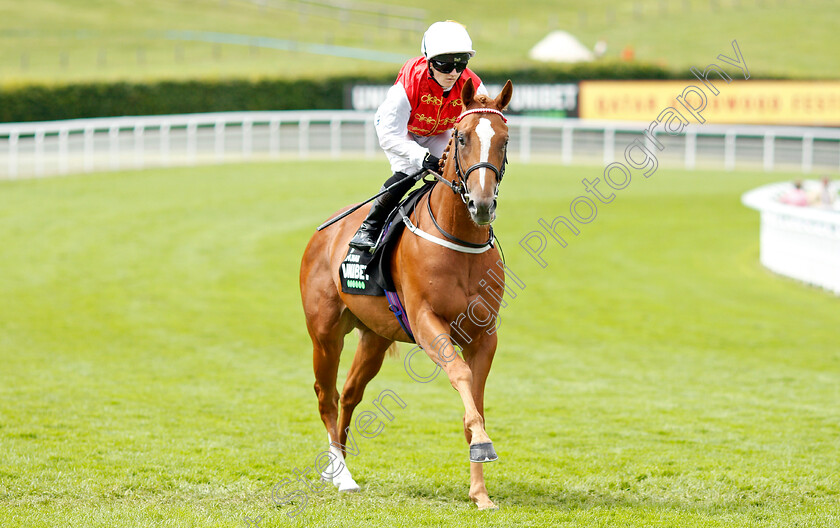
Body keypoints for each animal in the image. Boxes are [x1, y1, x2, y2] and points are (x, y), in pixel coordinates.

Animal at [302, 78, 512, 512]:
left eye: (504, 140)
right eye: (462, 138)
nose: (482, 204)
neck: (457, 241)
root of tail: (323, 234)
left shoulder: (485, 335)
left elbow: (474, 403)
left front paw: (480, 490)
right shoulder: (427, 323)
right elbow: (461, 375)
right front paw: (483, 447)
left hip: (374, 336)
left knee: (350, 394)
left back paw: (339, 463)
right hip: (325, 334)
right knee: (327, 395)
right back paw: (341, 475)